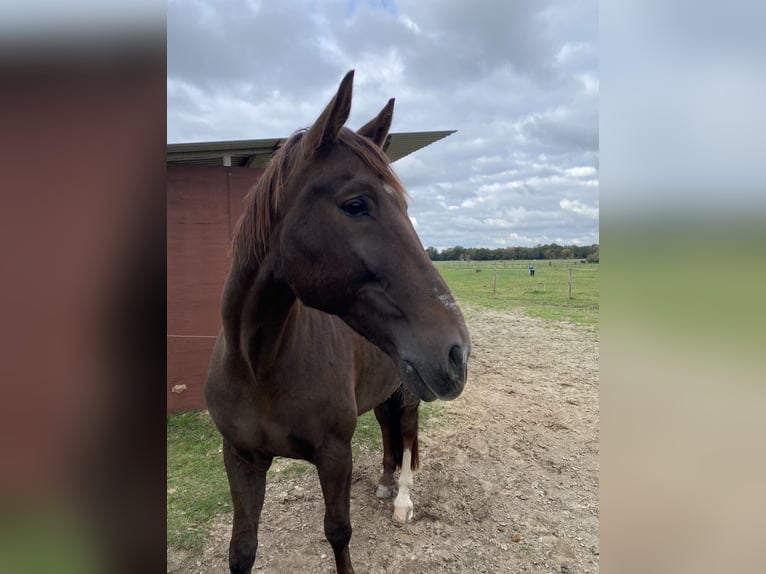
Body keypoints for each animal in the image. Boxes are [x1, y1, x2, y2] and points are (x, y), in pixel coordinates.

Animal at [204, 70, 471, 574]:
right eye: (356, 204)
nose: (457, 352)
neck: (259, 364)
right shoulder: (241, 457)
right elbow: (242, 550)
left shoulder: (334, 455)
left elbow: (338, 533)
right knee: (387, 428)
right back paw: (385, 482)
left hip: (410, 391)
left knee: (407, 436)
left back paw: (402, 499)